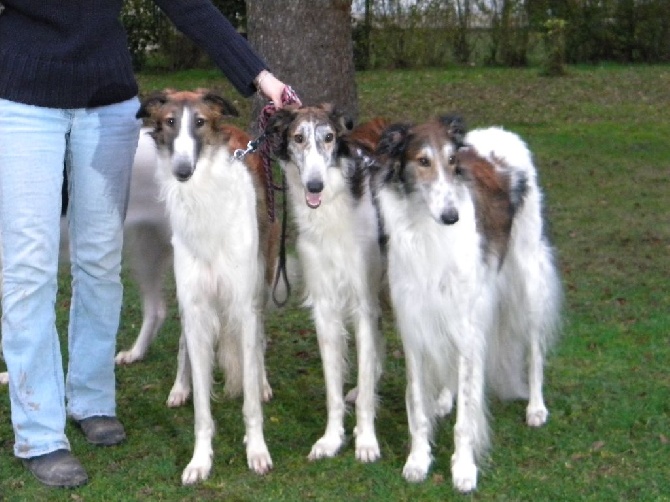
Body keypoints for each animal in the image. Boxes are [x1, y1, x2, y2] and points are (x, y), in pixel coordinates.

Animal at [138, 88, 280, 484]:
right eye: (170, 122)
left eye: (199, 122)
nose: (182, 170)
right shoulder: (196, 306)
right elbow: (202, 408)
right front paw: (199, 461)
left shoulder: (243, 305)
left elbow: (250, 398)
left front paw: (257, 451)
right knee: (184, 344)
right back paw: (179, 388)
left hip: (263, 279)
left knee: (260, 341)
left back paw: (263, 382)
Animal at [266, 105, 386, 462]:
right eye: (298, 138)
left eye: (329, 137)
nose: (314, 186)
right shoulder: (325, 305)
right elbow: (333, 388)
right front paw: (331, 439)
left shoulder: (363, 301)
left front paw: (367, 442)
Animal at [372, 115, 560, 492]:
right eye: (422, 161)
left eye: (452, 161)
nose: (451, 216)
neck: (427, 231)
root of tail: (502, 132)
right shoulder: (414, 322)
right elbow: (417, 403)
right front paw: (418, 460)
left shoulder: (467, 321)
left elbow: (466, 417)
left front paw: (463, 468)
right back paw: (445, 399)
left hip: (528, 279)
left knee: (534, 350)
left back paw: (536, 407)